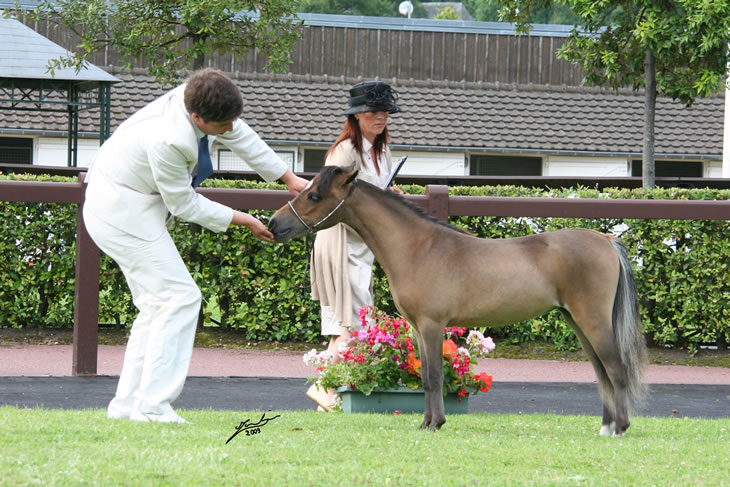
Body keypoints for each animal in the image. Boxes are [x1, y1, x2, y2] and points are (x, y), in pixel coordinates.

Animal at [268, 166, 644, 436]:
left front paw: (435, 424)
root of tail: (606, 241)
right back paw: (607, 426)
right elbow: (424, 377)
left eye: (314, 195)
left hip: (592, 321)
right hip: (577, 322)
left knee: (615, 369)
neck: (418, 247)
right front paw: (426, 422)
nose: (274, 224)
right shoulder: (418, 329)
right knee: (602, 372)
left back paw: (620, 427)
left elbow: (435, 376)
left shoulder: (433, 326)